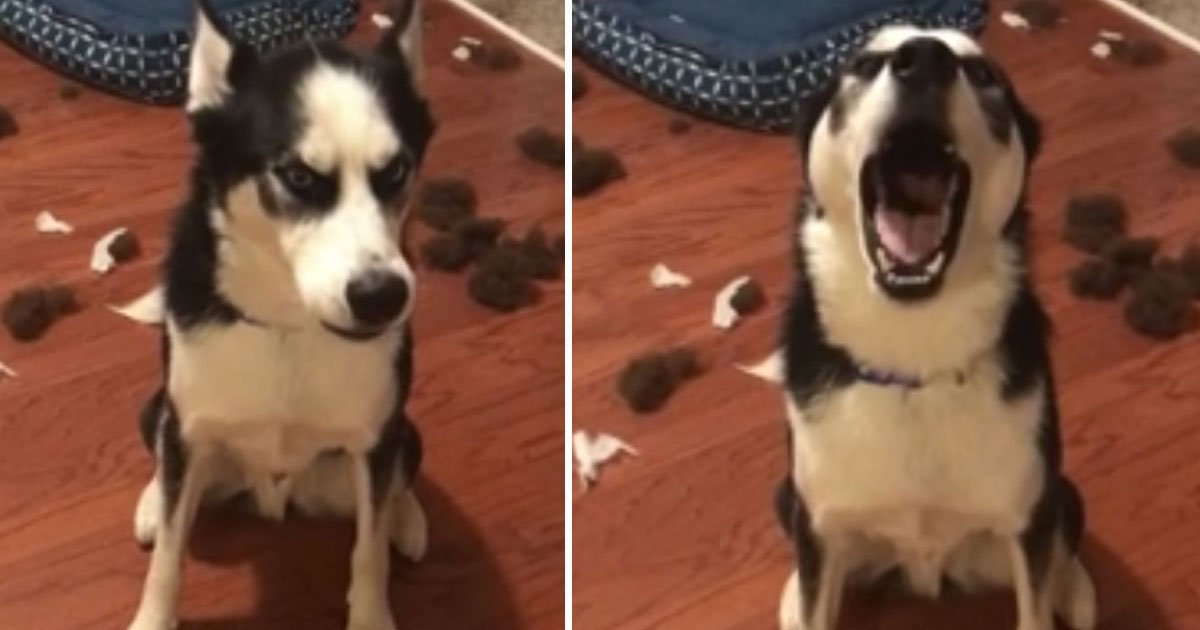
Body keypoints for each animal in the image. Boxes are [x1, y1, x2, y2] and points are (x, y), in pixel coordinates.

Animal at [129, 2, 436, 624]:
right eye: (297, 175)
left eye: (396, 171)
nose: (380, 295)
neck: (291, 325)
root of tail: (276, 495)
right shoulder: (188, 427)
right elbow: (169, 555)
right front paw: (152, 616)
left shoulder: (377, 437)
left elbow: (369, 551)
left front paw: (372, 616)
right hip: (159, 413)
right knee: (165, 467)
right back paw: (150, 501)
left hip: (398, 438)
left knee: (395, 484)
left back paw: (406, 517)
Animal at [777, 25, 1099, 628]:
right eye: (864, 64)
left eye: (984, 74)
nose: (924, 59)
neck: (913, 362)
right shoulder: (821, 521)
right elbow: (815, 600)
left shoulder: (1029, 516)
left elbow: (1035, 601)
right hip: (787, 499)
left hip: (1062, 496)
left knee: (1062, 552)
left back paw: (1075, 590)